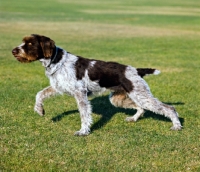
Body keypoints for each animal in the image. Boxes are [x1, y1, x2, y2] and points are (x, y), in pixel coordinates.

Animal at [11, 34, 182, 136]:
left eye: (30, 43)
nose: (13, 50)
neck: (56, 60)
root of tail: (135, 70)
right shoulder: (58, 87)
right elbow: (39, 94)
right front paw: (39, 110)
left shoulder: (80, 93)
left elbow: (84, 115)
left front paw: (83, 131)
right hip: (119, 98)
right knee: (141, 108)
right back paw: (133, 119)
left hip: (141, 94)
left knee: (169, 108)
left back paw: (176, 126)